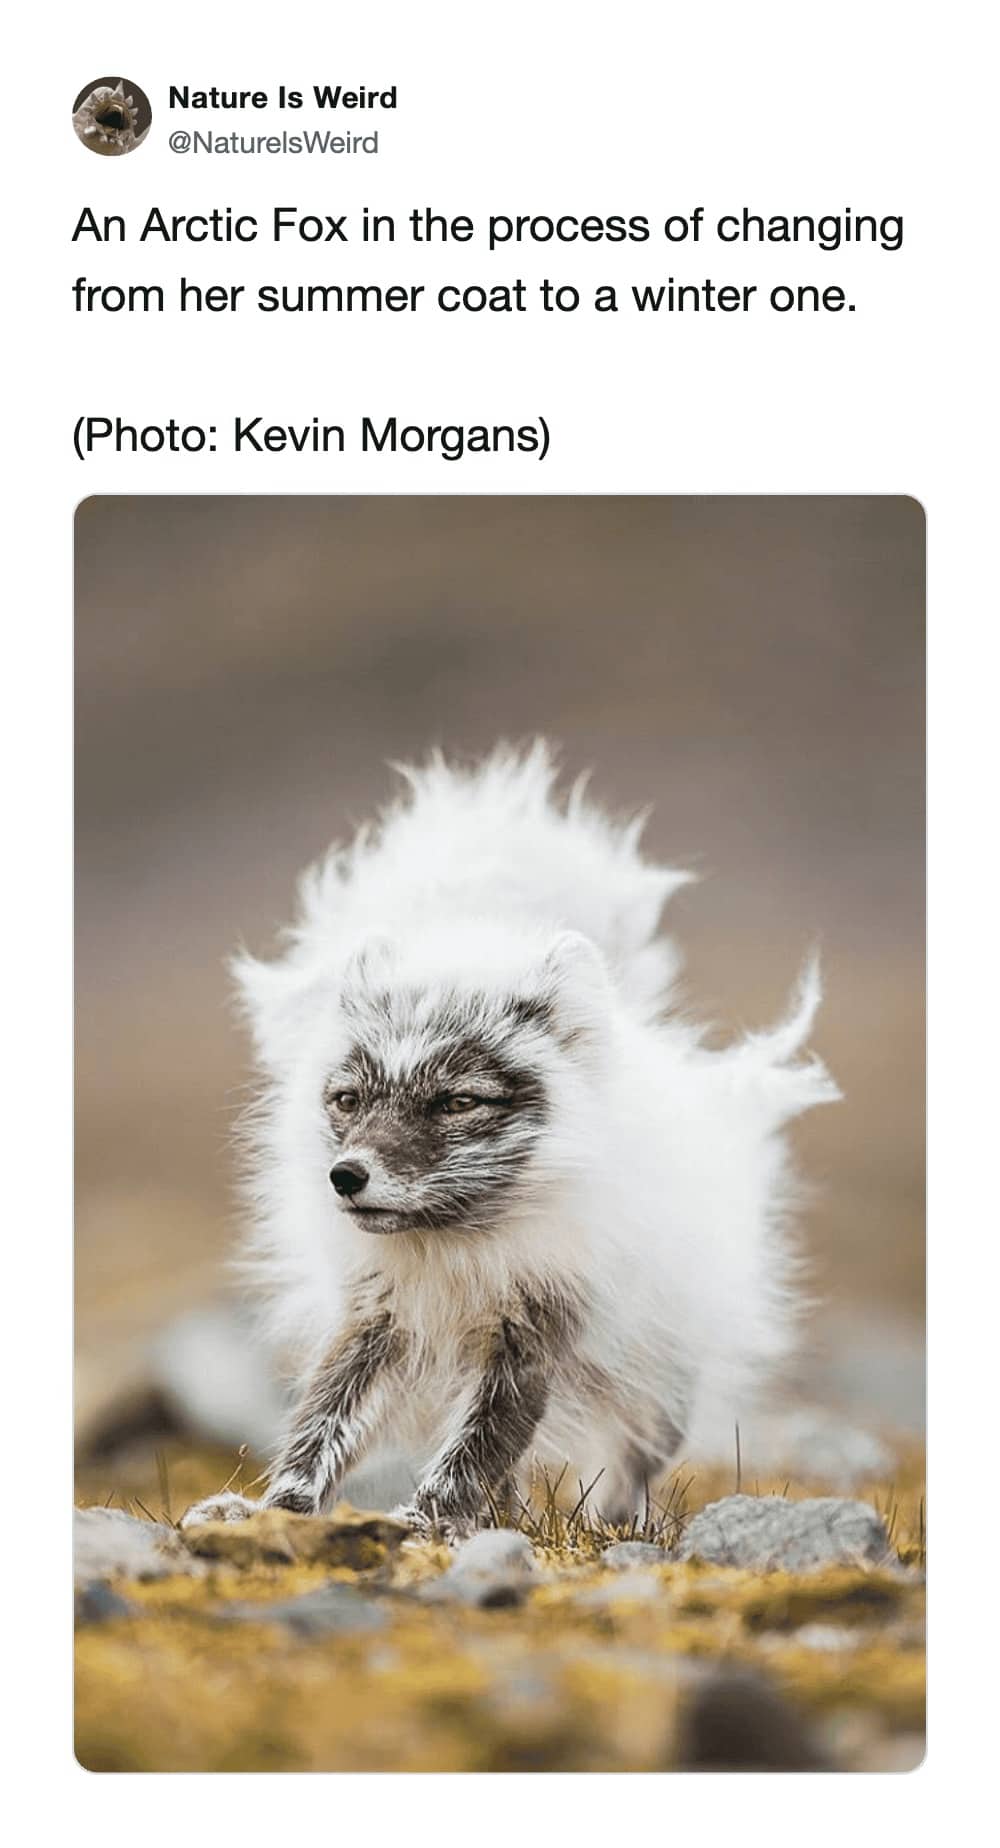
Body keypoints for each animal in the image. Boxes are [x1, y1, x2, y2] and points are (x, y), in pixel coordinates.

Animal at [181, 742, 838, 1538]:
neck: (457, 1251)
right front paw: (274, 1510)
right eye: (348, 1100)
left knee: (631, 1456)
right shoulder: (377, 1320)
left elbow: (476, 1448)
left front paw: (424, 1525)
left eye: (459, 1101)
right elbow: (321, 1425)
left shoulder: (533, 1336)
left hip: (657, 1376)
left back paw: (615, 1525)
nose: (346, 1175)